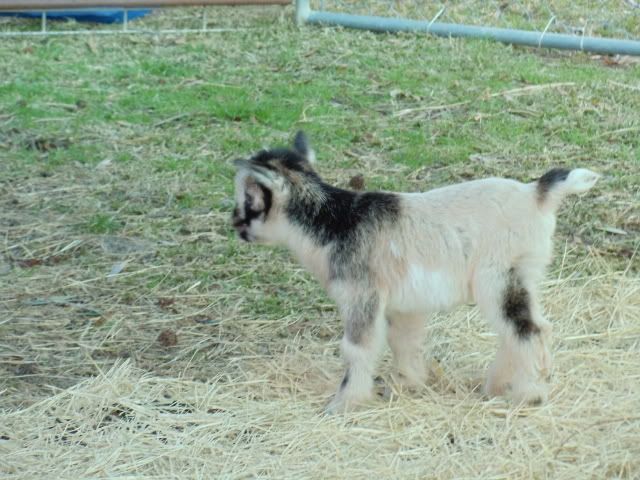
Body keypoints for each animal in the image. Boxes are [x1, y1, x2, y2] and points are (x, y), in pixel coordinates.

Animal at [231, 131, 600, 412]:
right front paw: (408, 384)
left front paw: (344, 403)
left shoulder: (361, 295)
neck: (336, 223)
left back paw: (529, 395)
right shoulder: (402, 304)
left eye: (249, 197)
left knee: (526, 329)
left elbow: (357, 348)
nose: (235, 224)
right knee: (529, 326)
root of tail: (535, 193)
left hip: (500, 276)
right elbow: (403, 340)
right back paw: (496, 384)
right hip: (525, 274)